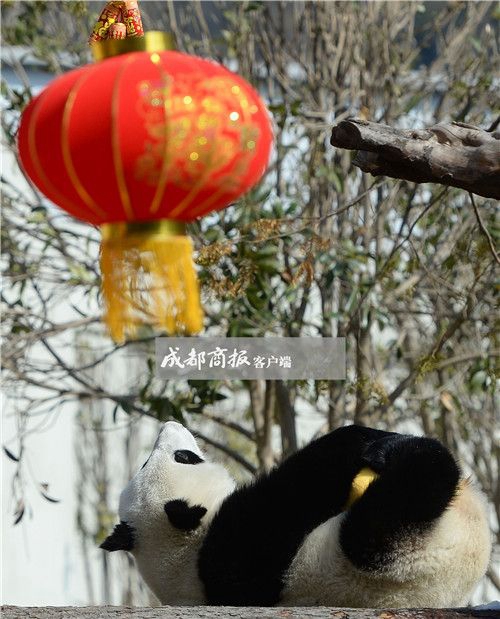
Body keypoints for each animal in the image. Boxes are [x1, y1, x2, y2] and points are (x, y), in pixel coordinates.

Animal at [101, 422, 492, 604]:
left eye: (144, 463)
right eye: (184, 457)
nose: (170, 425)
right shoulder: (237, 543)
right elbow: (299, 486)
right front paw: (364, 440)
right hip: (393, 551)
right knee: (404, 496)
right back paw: (405, 453)